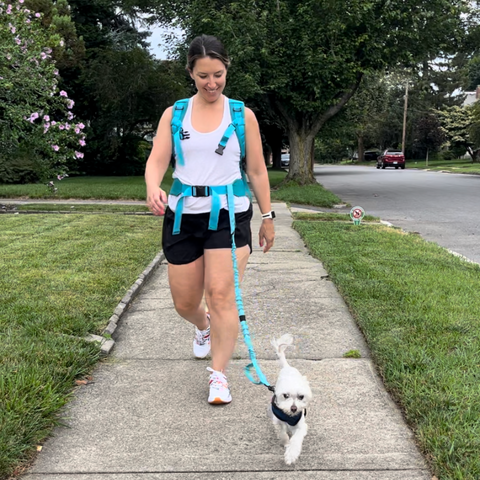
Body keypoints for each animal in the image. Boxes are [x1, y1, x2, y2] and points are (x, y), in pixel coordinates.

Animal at [268, 334, 314, 464]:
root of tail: (287, 367)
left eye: (301, 396)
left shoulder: (300, 425)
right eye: (285, 395)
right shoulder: (278, 421)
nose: (293, 408)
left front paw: (291, 454)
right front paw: (286, 443)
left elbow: (296, 439)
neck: (289, 416)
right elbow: (282, 433)